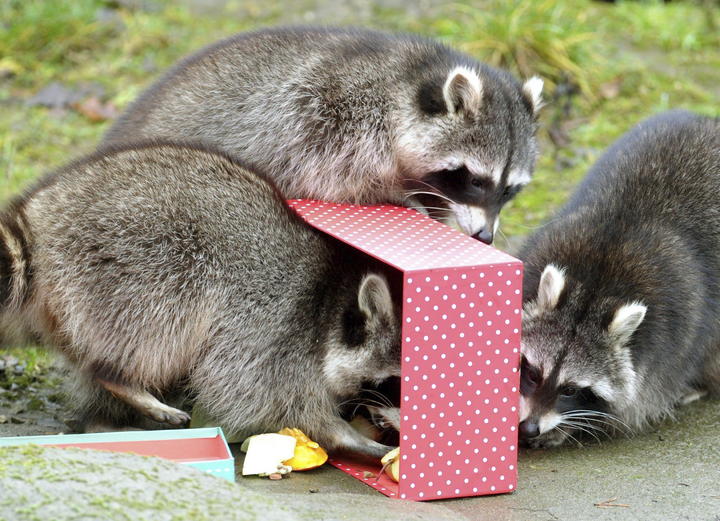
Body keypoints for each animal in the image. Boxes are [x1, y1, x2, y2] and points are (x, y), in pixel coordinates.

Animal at [0, 141, 402, 458]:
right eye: (394, 384)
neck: (334, 293)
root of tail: (42, 219)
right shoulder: (276, 329)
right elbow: (267, 396)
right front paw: (342, 434)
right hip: (140, 258)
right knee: (164, 324)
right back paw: (120, 379)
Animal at [101, 26, 544, 243]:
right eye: (475, 180)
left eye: (509, 190)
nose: (484, 237)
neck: (408, 79)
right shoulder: (333, 119)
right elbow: (337, 182)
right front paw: (398, 197)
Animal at [517, 110, 720, 448]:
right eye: (533, 373)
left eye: (570, 389)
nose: (530, 427)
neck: (595, 287)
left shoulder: (671, 340)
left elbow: (637, 399)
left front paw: (566, 427)